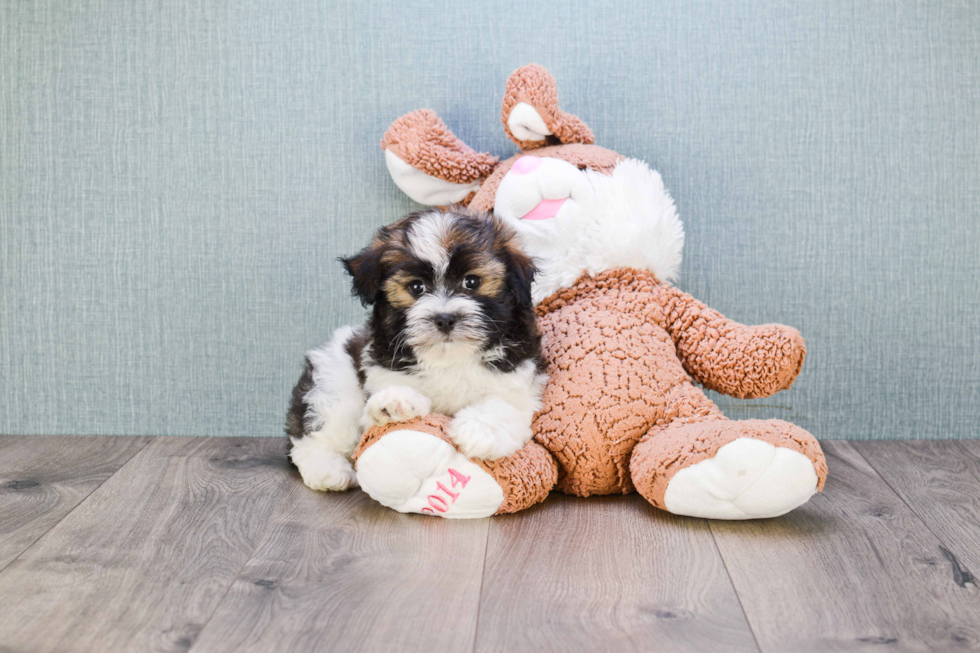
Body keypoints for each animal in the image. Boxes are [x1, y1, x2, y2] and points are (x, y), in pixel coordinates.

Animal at [286, 205, 544, 488]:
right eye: (417, 287)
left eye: (472, 282)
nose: (445, 318)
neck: (449, 359)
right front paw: (394, 403)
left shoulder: (517, 380)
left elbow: (504, 405)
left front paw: (479, 428)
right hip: (333, 378)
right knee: (317, 432)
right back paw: (327, 470)